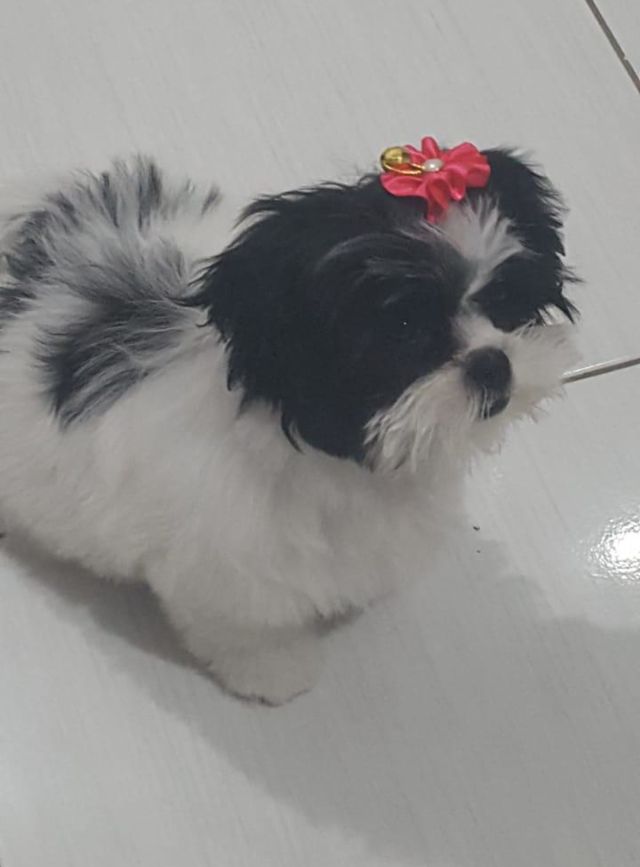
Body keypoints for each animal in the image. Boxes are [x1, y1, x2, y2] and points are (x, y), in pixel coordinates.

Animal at [0, 141, 578, 703]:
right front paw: (276, 672)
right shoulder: (224, 565)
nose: (492, 364)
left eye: (503, 298)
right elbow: (244, 629)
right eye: (404, 329)